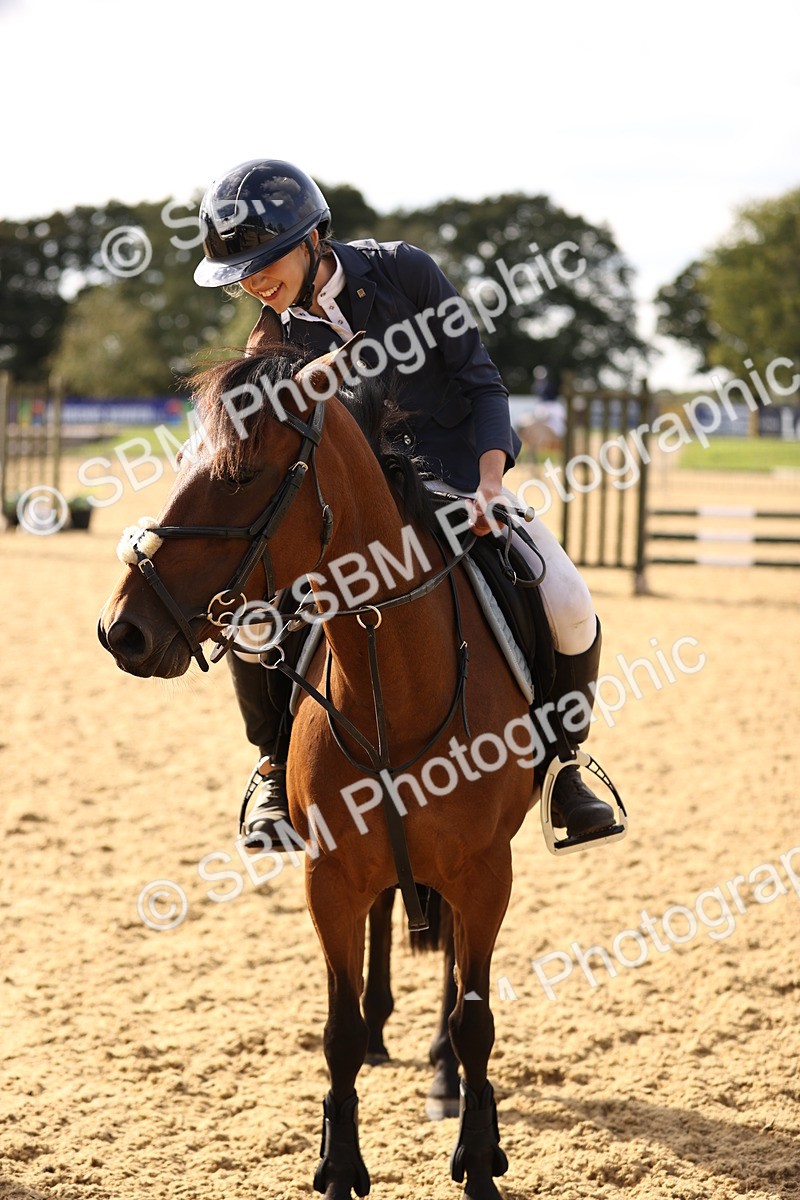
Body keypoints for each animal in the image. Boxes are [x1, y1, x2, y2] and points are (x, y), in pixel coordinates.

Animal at [98, 330, 536, 1199]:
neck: (394, 679)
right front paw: (338, 1164)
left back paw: (439, 1073)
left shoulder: (485, 872)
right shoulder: (329, 876)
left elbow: (473, 1020)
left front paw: (477, 1158)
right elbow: (335, 1029)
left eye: (237, 474)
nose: (120, 629)